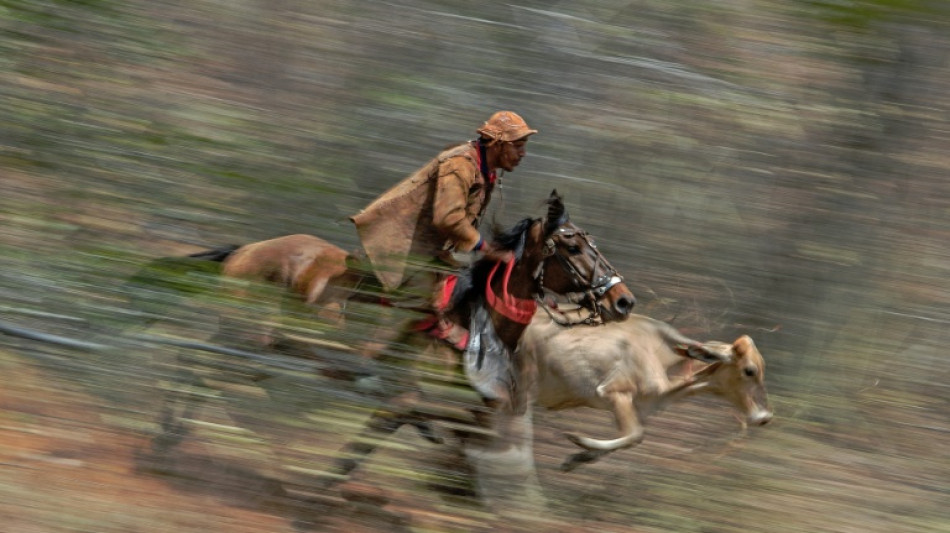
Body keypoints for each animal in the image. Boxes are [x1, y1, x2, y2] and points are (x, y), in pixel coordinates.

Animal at [152, 190, 636, 512]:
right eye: (572, 246)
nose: (623, 300)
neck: (473, 324)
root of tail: (249, 249)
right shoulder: (400, 403)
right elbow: (356, 452)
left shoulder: (469, 412)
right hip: (251, 341)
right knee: (195, 363)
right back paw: (166, 438)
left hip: (255, 348)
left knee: (197, 363)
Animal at [520, 312, 772, 470]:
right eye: (750, 370)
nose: (764, 417)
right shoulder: (614, 393)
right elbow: (634, 435)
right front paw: (577, 441)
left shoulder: (638, 408)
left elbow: (631, 438)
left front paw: (576, 458)